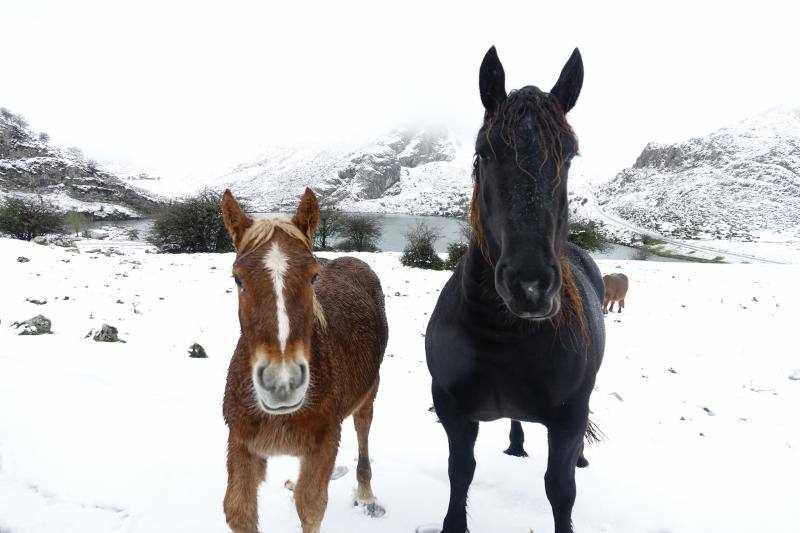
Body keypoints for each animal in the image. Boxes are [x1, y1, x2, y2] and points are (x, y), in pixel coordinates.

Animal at [219, 188, 388, 532]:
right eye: (238, 279)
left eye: (313, 277)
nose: (282, 383)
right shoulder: (240, 442)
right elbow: (238, 509)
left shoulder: (325, 441)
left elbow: (310, 506)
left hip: (370, 391)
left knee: (363, 429)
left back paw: (365, 490)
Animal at [422, 46, 604, 532]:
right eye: (484, 153)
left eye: (569, 155)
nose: (530, 286)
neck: (501, 337)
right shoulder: (452, 410)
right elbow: (460, 471)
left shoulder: (568, 419)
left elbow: (561, 490)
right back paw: (516, 443)